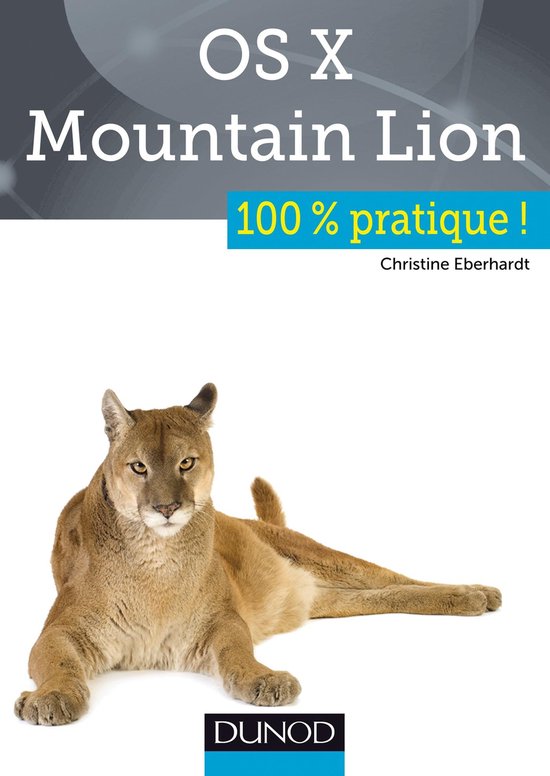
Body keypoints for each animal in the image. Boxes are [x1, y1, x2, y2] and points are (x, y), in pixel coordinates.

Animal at [15, 384, 501, 725]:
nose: (167, 507)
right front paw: (51, 697)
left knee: (394, 578)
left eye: (186, 463)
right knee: (377, 597)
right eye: (139, 467)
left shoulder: (221, 619)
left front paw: (263, 680)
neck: (157, 561)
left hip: (321, 555)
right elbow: (56, 662)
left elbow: (238, 652)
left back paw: (475, 594)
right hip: (328, 599)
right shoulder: (62, 629)